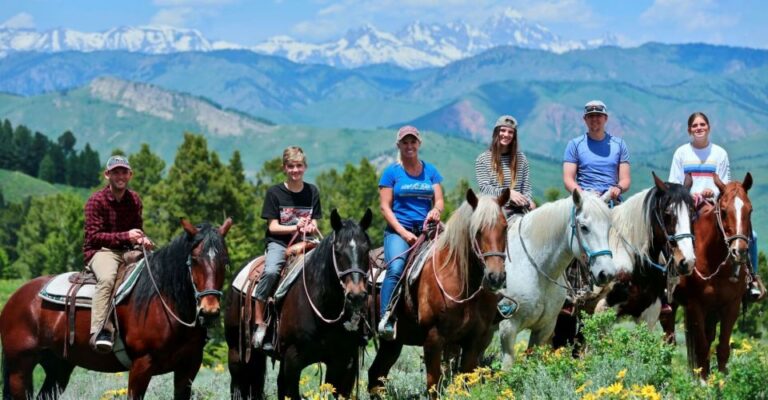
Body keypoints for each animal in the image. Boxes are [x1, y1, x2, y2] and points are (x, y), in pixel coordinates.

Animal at [1, 219, 232, 400]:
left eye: (225, 261)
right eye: (194, 259)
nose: (209, 310)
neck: (165, 304)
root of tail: (15, 298)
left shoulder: (189, 368)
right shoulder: (141, 366)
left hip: (58, 367)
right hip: (19, 368)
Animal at [225, 209, 372, 400]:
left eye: (366, 250)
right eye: (338, 251)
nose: (356, 295)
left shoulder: (342, 362)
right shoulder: (293, 361)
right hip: (236, 351)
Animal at [368, 189, 510, 396]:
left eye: (505, 227)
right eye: (477, 230)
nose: (496, 276)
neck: (463, 282)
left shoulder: (473, 341)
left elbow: (465, 380)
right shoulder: (433, 339)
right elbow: (434, 384)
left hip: (392, 342)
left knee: (376, 375)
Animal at [664, 173, 752, 380]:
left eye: (750, 210)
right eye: (724, 211)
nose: (739, 251)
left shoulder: (731, 305)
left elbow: (722, 348)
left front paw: (721, 380)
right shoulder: (696, 305)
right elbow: (702, 347)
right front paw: (704, 381)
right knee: (669, 339)